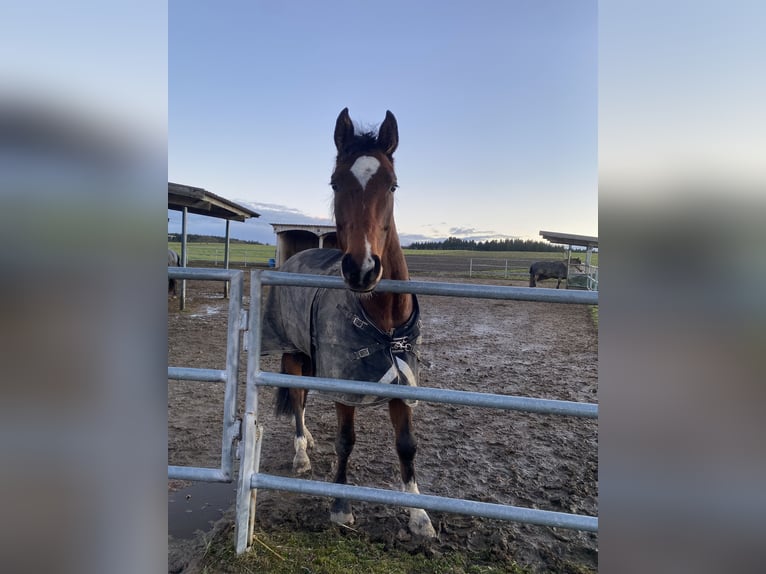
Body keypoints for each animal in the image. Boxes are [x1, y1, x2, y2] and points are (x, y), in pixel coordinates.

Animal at [260, 108, 436, 540]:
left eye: (392, 184)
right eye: (335, 182)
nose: (362, 268)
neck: (382, 320)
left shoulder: (403, 380)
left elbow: (406, 444)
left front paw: (418, 515)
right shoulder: (343, 384)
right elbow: (345, 440)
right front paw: (340, 507)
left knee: (304, 398)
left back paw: (308, 441)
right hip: (293, 354)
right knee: (298, 399)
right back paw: (301, 452)